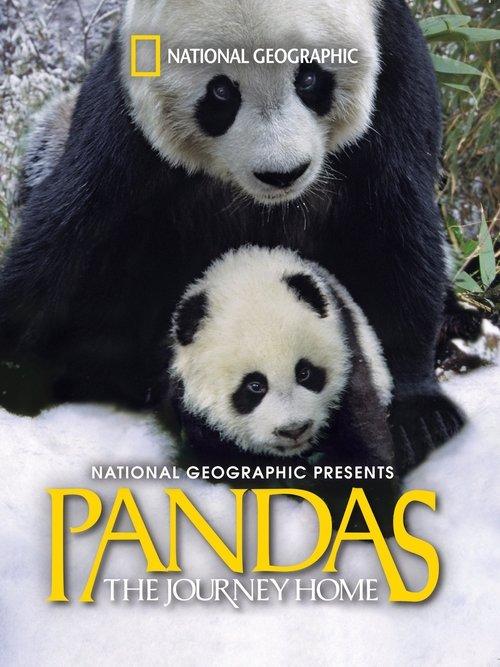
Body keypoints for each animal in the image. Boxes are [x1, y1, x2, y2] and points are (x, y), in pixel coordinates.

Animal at [0, 0, 464, 473]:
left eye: (309, 77)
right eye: (221, 91)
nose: (282, 173)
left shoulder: (395, 76)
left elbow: (394, 228)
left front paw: (420, 416)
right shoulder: (126, 112)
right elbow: (72, 233)